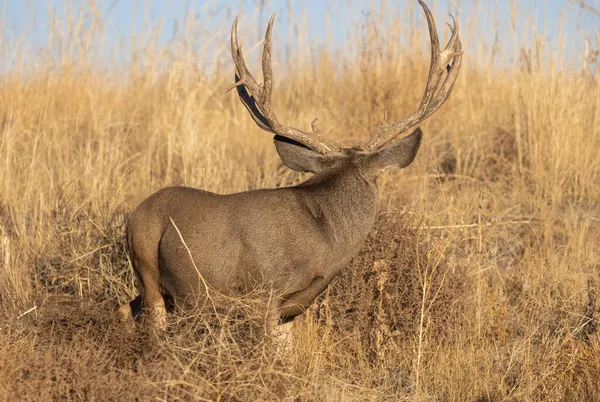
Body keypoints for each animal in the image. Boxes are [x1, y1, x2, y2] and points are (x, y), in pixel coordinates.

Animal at [117, 0, 464, 340]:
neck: (324, 240)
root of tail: (134, 215)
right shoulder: (264, 293)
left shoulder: (295, 306)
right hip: (148, 267)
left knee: (124, 309)